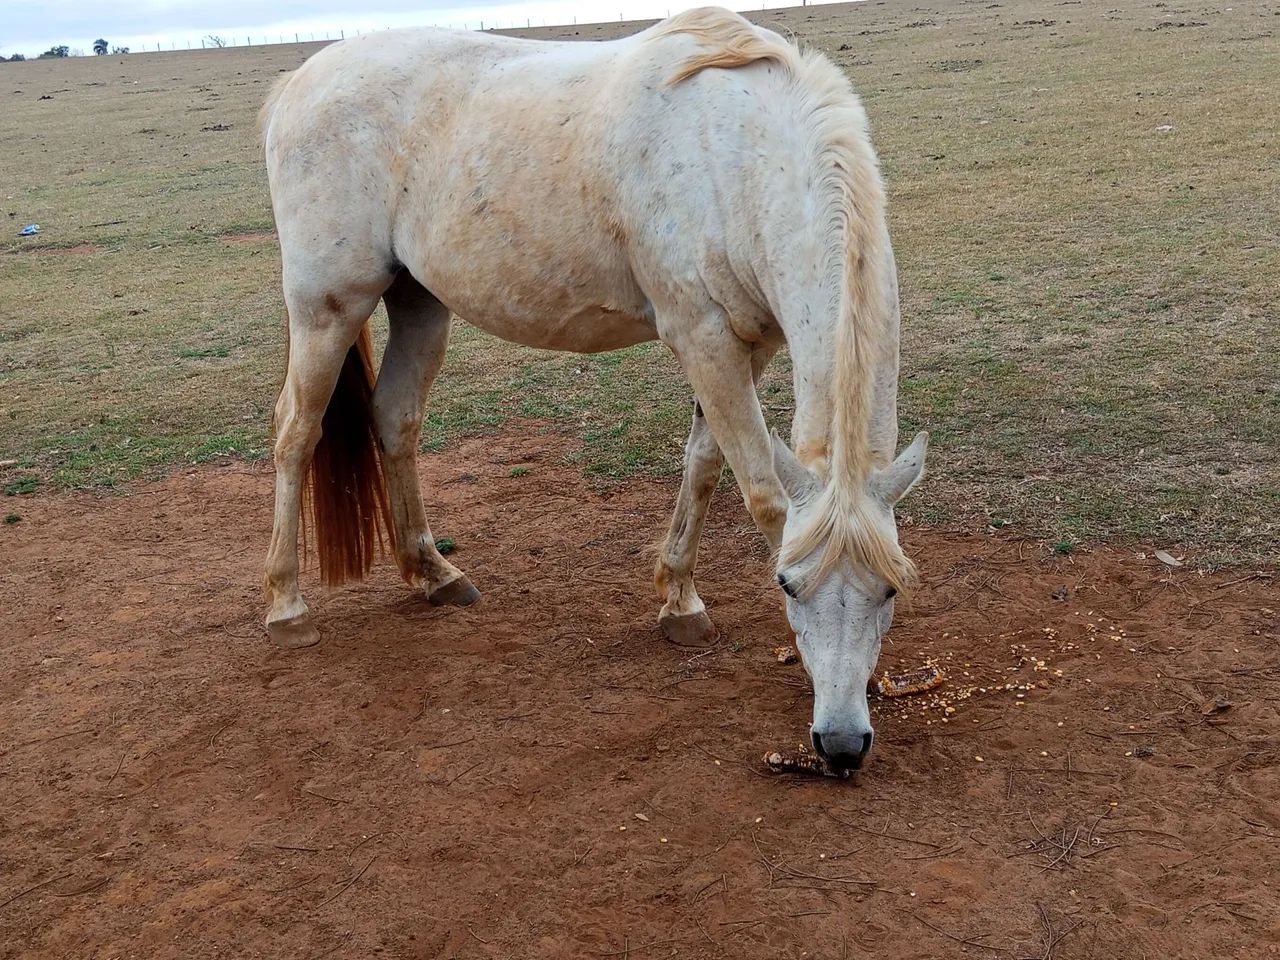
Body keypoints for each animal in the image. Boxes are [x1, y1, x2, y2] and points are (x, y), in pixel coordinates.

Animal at [259, 6, 927, 772]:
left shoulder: (743, 344)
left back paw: (433, 573)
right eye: (790, 584)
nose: (843, 744)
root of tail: (296, 86)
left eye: (890, 588)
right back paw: (287, 607)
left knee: (395, 419)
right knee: (295, 433)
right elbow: (762, 495)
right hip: (327, 309)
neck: (735, 153)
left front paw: (679, 602)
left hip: (419, 301)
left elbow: (705, 464)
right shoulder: (702, 337)